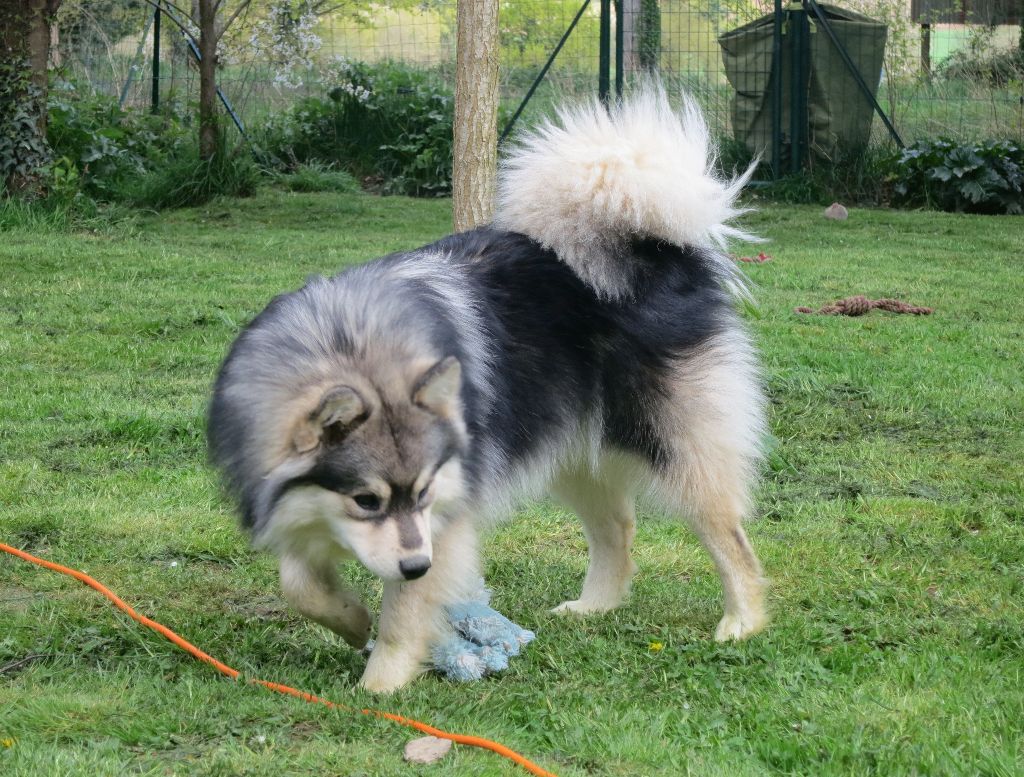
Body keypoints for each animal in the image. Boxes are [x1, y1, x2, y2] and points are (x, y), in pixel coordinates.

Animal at [207, 87, 768, 693]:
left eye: (424, 492)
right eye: (365, 501)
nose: (417, 566)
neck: (348, 347)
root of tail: (655, 246)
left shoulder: (440, 521)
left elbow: (404, 611)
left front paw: (377, 687)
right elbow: (299, 583)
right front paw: (351, 619)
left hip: (676, 443)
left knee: (727, 534)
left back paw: (743, 620)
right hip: (570, 444)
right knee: (617, 526)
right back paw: (596, 606)